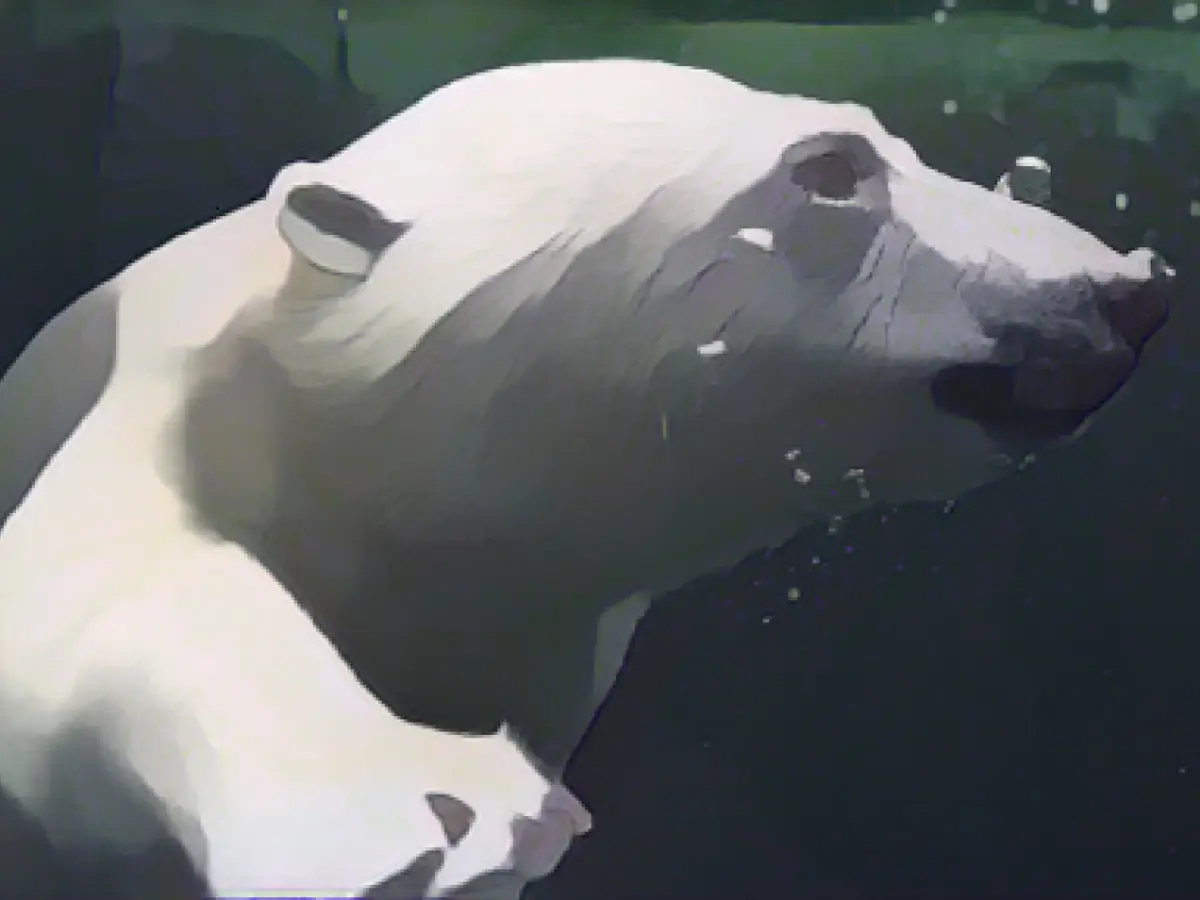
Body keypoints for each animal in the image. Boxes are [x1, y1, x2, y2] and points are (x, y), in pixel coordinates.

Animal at [0, 58, 1172, 894]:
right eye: (833, 169)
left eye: (902, 142)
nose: (1127, 288)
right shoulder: (162, 411)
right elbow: (89, 605)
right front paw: (437, 814)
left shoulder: (545, 645)